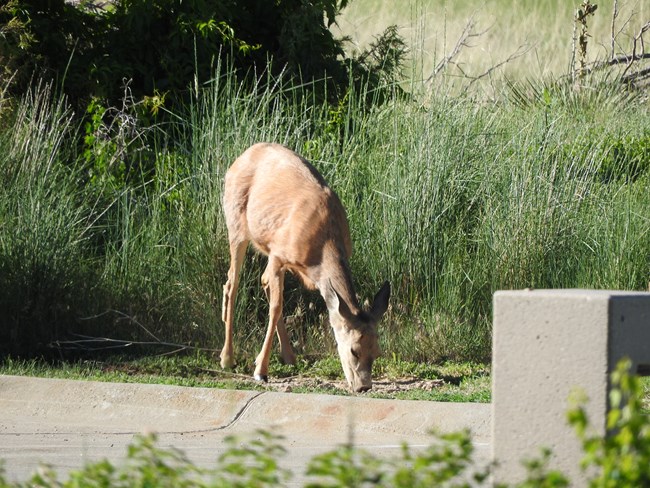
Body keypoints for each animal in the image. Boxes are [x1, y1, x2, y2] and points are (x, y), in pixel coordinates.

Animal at [220, 142, 390, 393]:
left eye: (377, 352)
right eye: (354, 351)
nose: (364, 387)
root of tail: (242, 156)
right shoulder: (278, 254)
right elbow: (276, 307)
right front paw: (260, 370)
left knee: (260, 281)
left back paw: (289, 356)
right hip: (236, 224)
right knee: (232, 283)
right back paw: (227, 358)